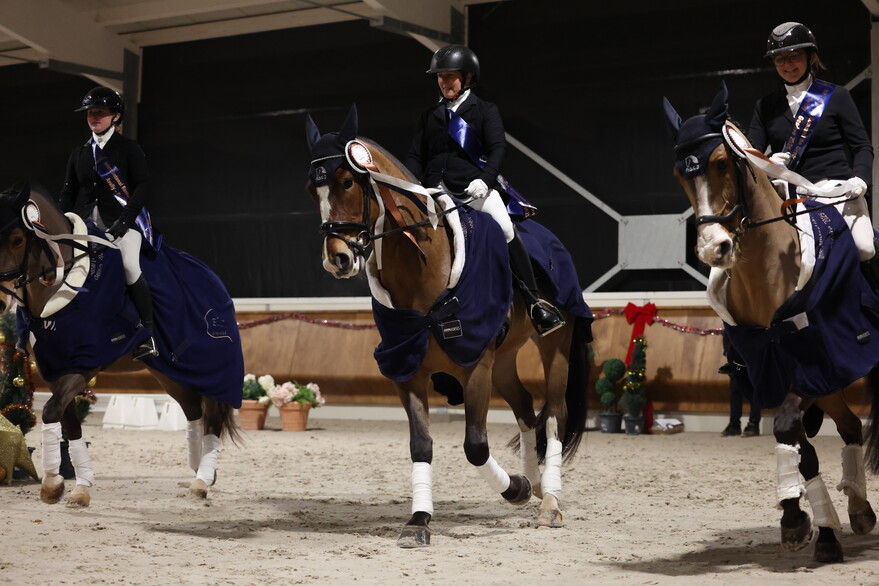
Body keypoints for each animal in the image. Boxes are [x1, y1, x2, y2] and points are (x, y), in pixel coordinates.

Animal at [0, 184, 244, 507]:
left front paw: (53, 483)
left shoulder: (86, 362)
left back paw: (202, 481)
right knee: (192, 410)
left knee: (213, 417)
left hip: (210, 365)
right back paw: (199, 469)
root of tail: (214, 279)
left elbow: (51, 412)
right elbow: (69, 423)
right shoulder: (55, 368)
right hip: (169, 371)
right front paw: (77, 487)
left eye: (16, 239)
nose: (1, 299)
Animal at [305, 104, 592, 547]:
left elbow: (475, 447)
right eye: (311, 189)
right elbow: (421, 445)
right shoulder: (407, 369)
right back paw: (534, 483)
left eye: (348, 181)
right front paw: (419, 520)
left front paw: (515, 489)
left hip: (555, 345)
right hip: (504, 359)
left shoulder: (475, 368)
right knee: (526, 408)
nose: (337, 258)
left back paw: (548, 502)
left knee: (555, 414)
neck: (423, 271)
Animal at [663, 82, 879, 563]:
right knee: (850, 428)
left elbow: (788, 431)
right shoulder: (773, 367)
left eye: (721, 163)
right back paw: (858, 509)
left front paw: (803, 523)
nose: (714, 248)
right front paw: (809, 525)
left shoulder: (816, 360)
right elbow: (800, 447)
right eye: (679, 174)